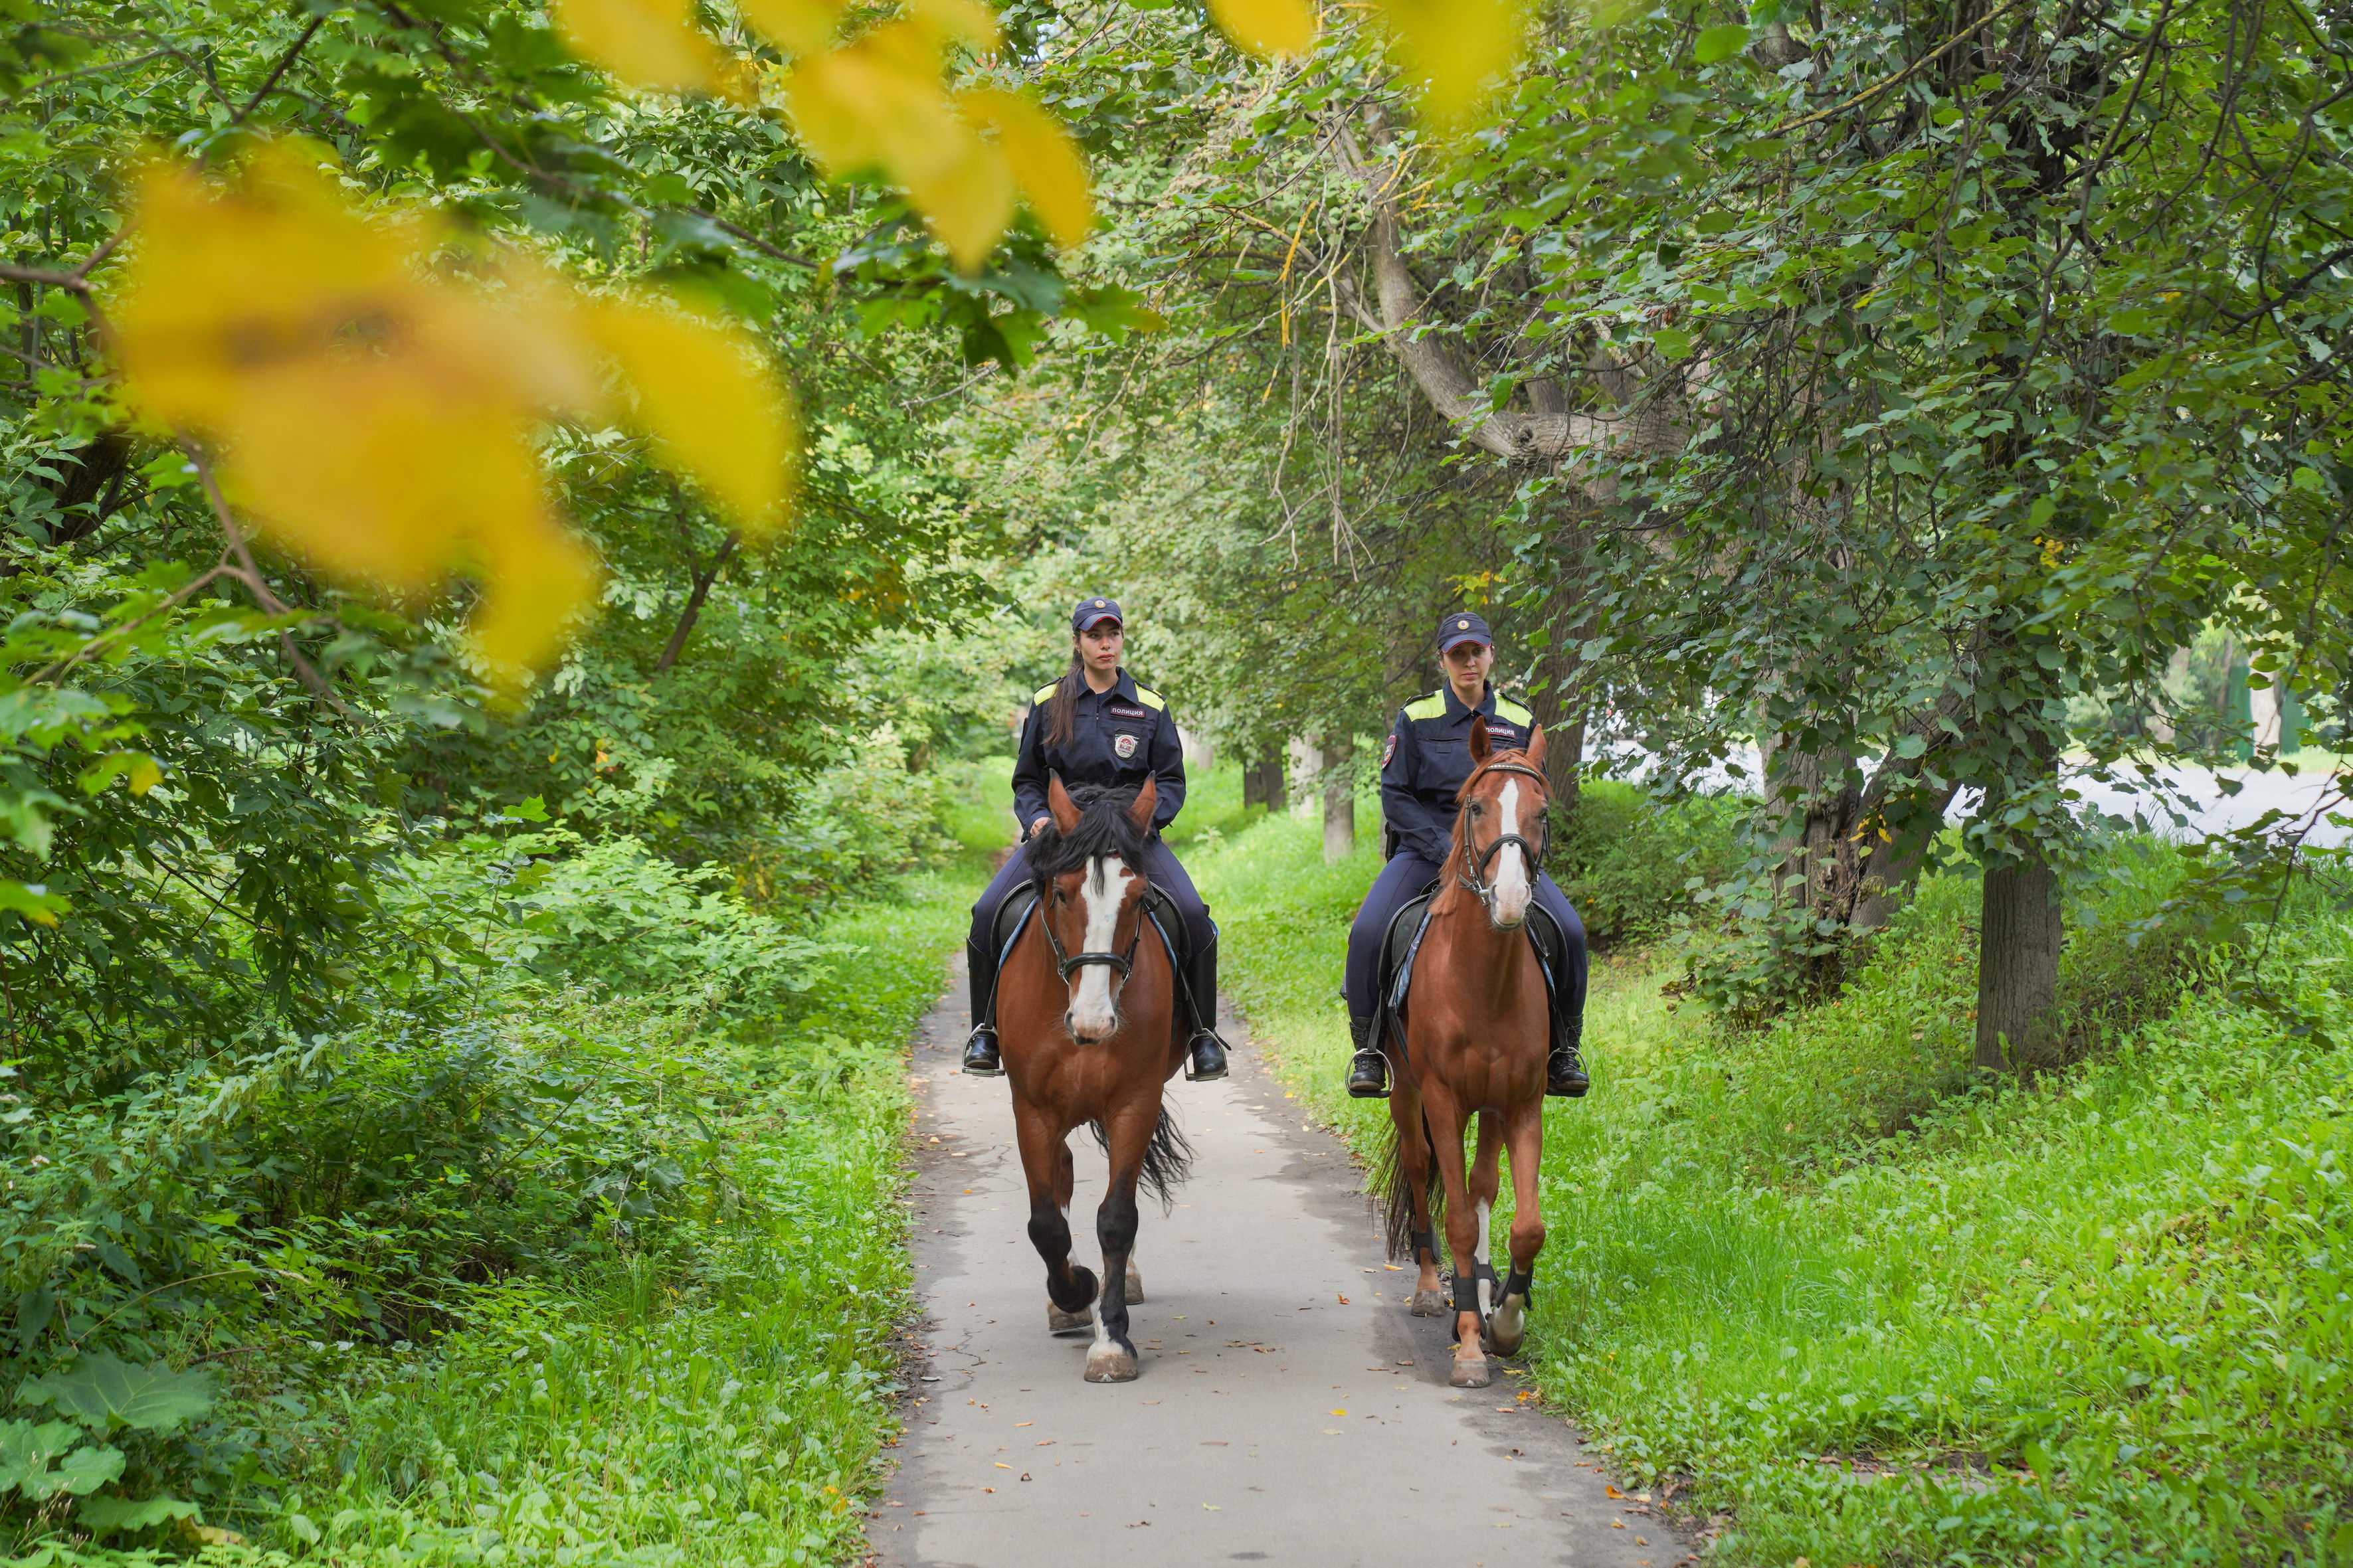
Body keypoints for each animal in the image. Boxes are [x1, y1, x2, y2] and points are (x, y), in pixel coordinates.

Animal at [995, 773, 1194, 1383]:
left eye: (1139, 899)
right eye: (1062, 893)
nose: (1093, 1021)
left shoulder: (1134, 1101)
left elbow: (1116, 1217)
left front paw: (1113, 1342)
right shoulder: (1032, 1109)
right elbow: (1045, 1222)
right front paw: (1073, 1290)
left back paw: (1119, 1280)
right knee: (1060, 1179)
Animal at [1376, 718, 1554, 1389]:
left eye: (1541, 812)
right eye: (1475, 806)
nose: (1509, 899)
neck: (1482, 982)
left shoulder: (1521, 1102)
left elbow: (1525, 1225)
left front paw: (1503, 1320)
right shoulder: (1445, 1101)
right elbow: (1454, 1216)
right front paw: (1472, 1345)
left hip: (1491, 1108)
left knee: (1482, 1188)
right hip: (1407, 1095)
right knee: (1422, 1168)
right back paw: (1435, 1291)